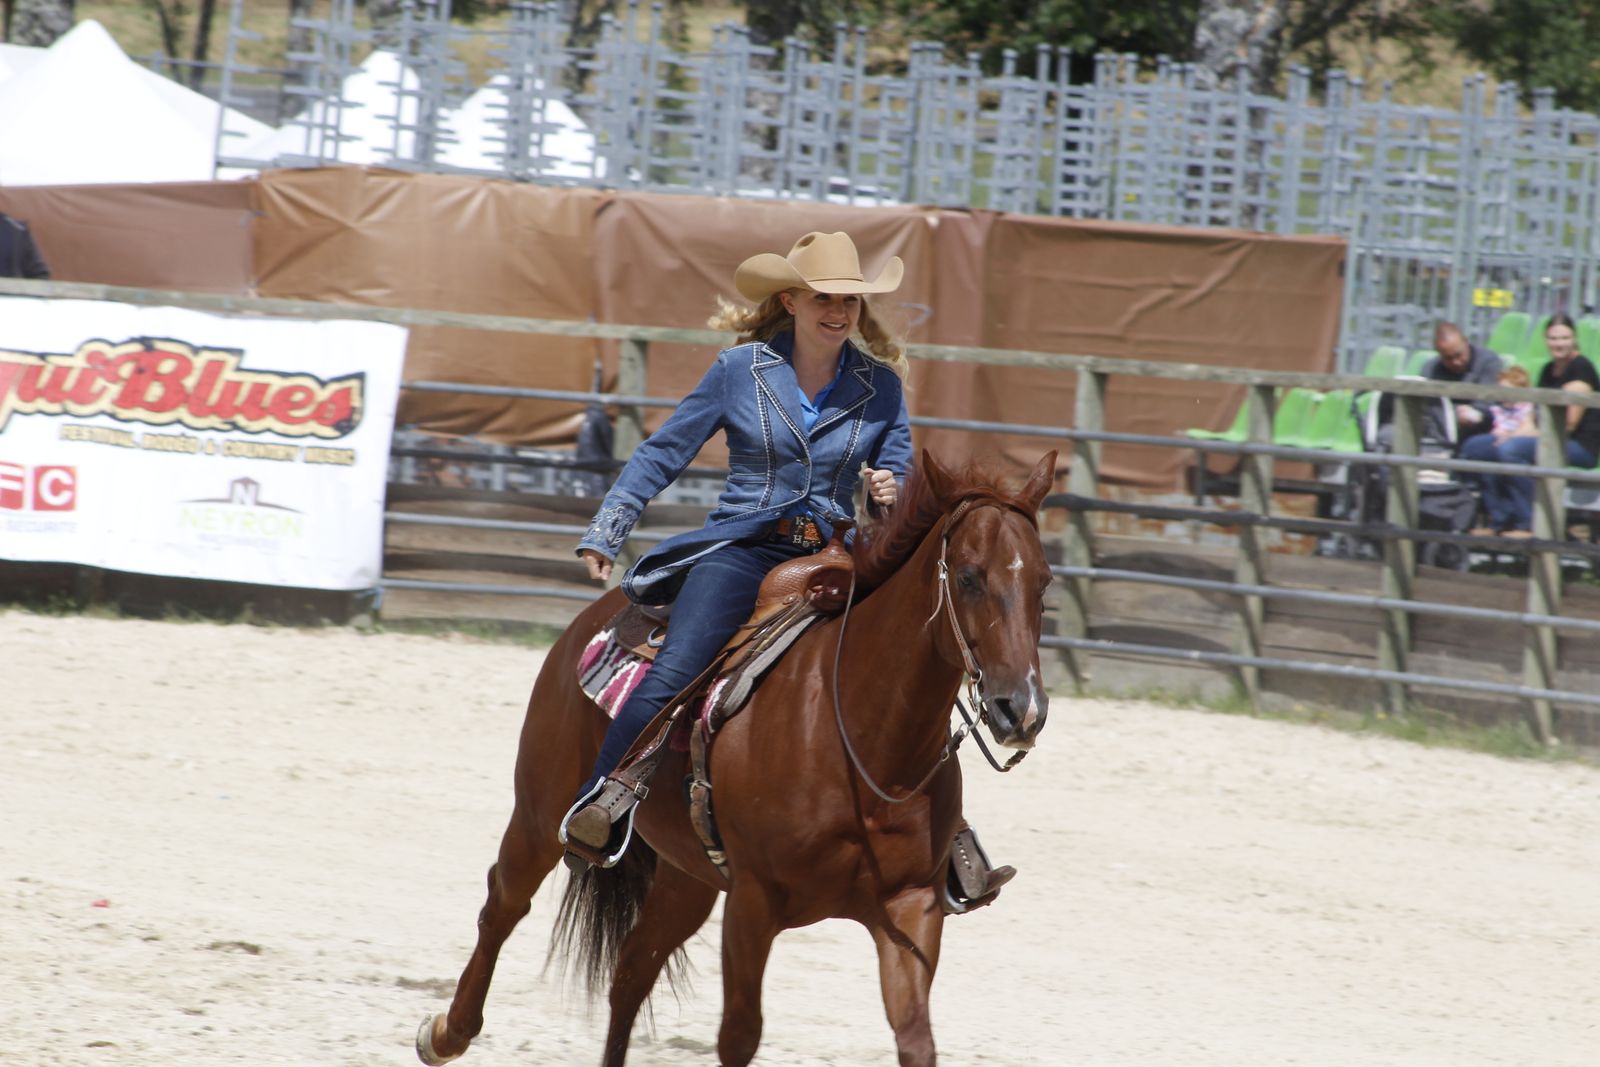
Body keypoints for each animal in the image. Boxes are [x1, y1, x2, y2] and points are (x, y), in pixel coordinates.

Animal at [417, 448, 1058, 1067]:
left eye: (1044, 584)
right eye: (969, 577)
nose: (1021, 710)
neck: (862, 746)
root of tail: (594, 618)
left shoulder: (910, 908)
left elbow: (916, 1041)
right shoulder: (753, 903)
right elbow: (739, 1037)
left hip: (686, 877)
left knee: (631, 972)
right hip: (541, 812)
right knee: (504, 903)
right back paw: (446, 1033)